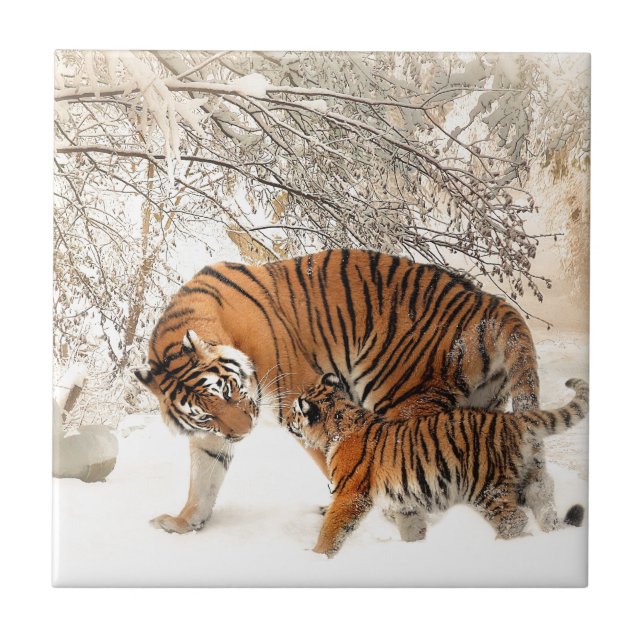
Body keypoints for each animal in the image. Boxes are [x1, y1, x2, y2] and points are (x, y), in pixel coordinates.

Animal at [134, 249, 543, 539]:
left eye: (230, 390)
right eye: (205, 414)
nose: (244, 432)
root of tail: (490, 303)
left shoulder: (300, 398)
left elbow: (333, 461)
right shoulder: (211, 435)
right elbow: (204, 477)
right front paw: (184, 523)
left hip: (401, 396)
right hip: (479, 407)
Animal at [285, 373, 588, 558]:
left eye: (295, 411)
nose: (286, 420)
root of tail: (512, 419)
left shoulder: (350, 494)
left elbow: (331, 528)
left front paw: (316, 556)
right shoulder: (405, 501)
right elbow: (412, 528)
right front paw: (415, 549)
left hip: (486, 487)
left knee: (514, 520)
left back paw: (499, 546)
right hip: (527, 478)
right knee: (544, 501)